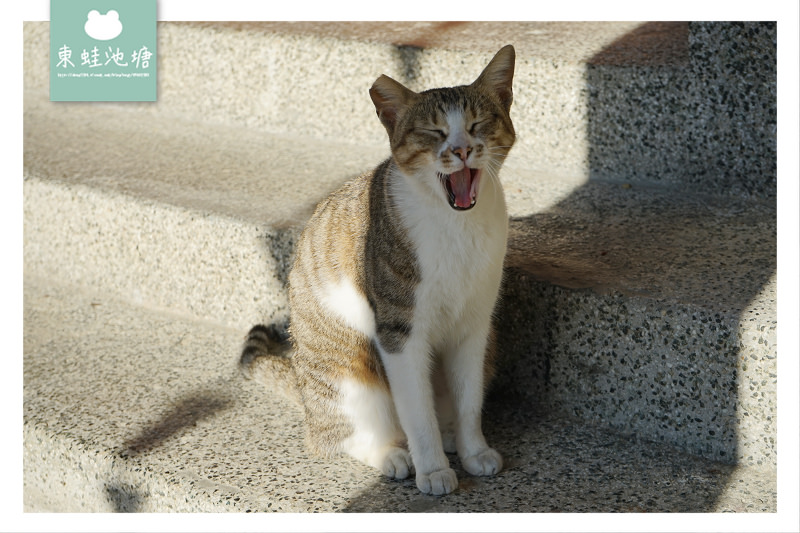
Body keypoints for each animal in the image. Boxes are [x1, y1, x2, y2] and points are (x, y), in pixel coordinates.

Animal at [242, 44, 520, 494]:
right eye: (434, 132)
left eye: (478, 124)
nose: (462, 150)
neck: (456, 226)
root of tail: (301, 383)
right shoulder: (399, 333)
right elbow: (417, 411)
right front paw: (433, 469)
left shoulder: (475, 326)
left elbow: (468, 399)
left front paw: (473, 449)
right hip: (350, 373)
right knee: (340, 436)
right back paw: (393, 454)